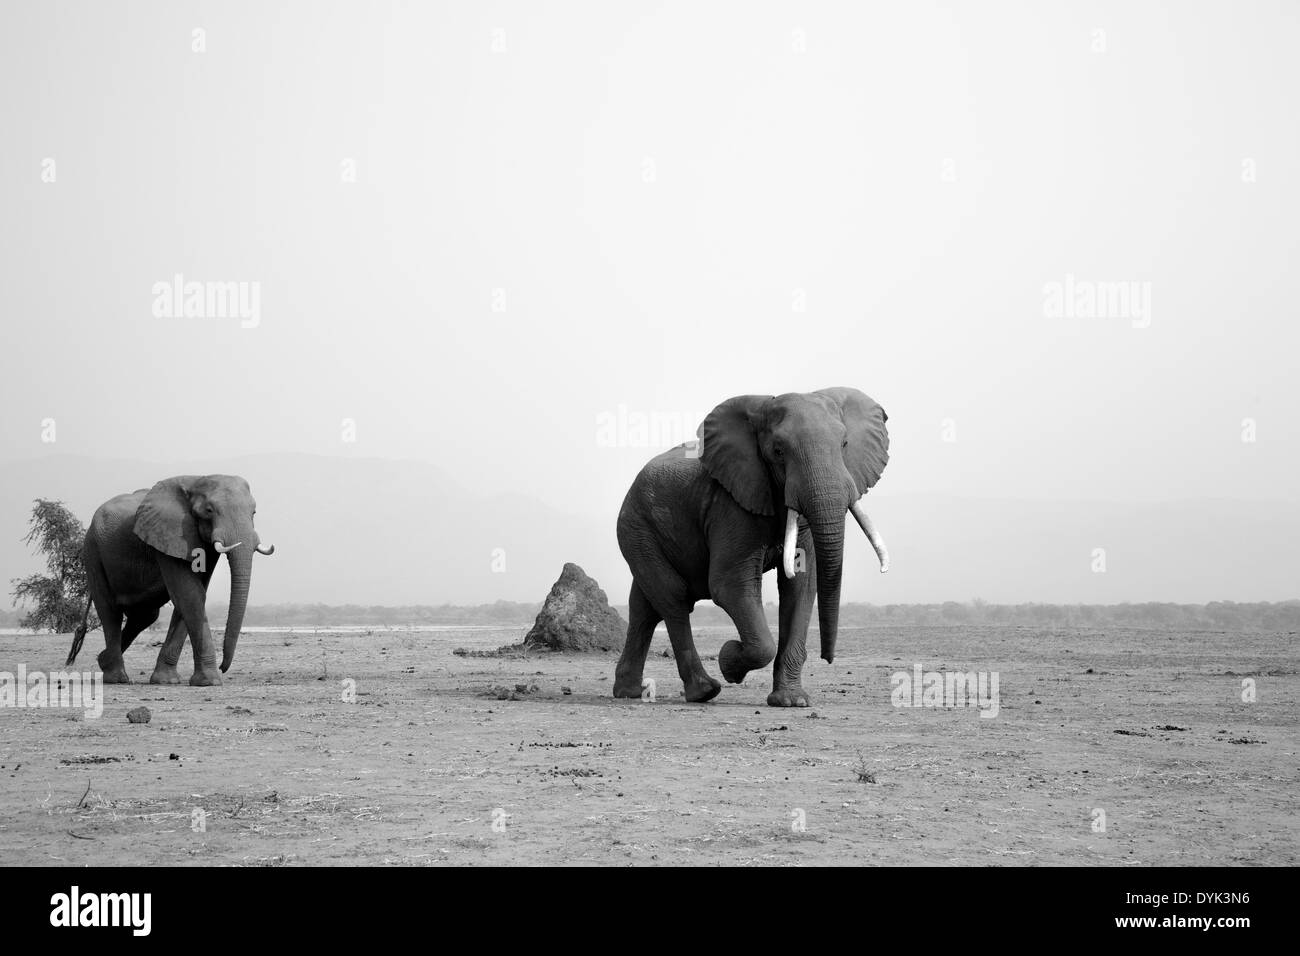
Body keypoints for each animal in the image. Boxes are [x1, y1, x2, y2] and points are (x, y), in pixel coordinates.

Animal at [66, 475, 274, 686]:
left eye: (254, 512)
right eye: (209, 510)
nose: (224, 668)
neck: (196, 480)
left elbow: (193, 596)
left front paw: (167, 680)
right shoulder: (169, 534)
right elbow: (190, 594)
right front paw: (210, 682)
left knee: (145, 616)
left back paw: (103, 660)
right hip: (93, 551)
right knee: (110, 611)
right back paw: (117, 678)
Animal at [613, 388, 890, 706]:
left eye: (844, 444)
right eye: (778, 451)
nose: (828, 657)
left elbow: (800, 586)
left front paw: (792, 702)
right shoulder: (731, 505)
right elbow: (730, 585)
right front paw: (729, 661)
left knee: (645, 605)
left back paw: (628, 692)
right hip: (636, 526)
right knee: (672, 597)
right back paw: (704, 691)